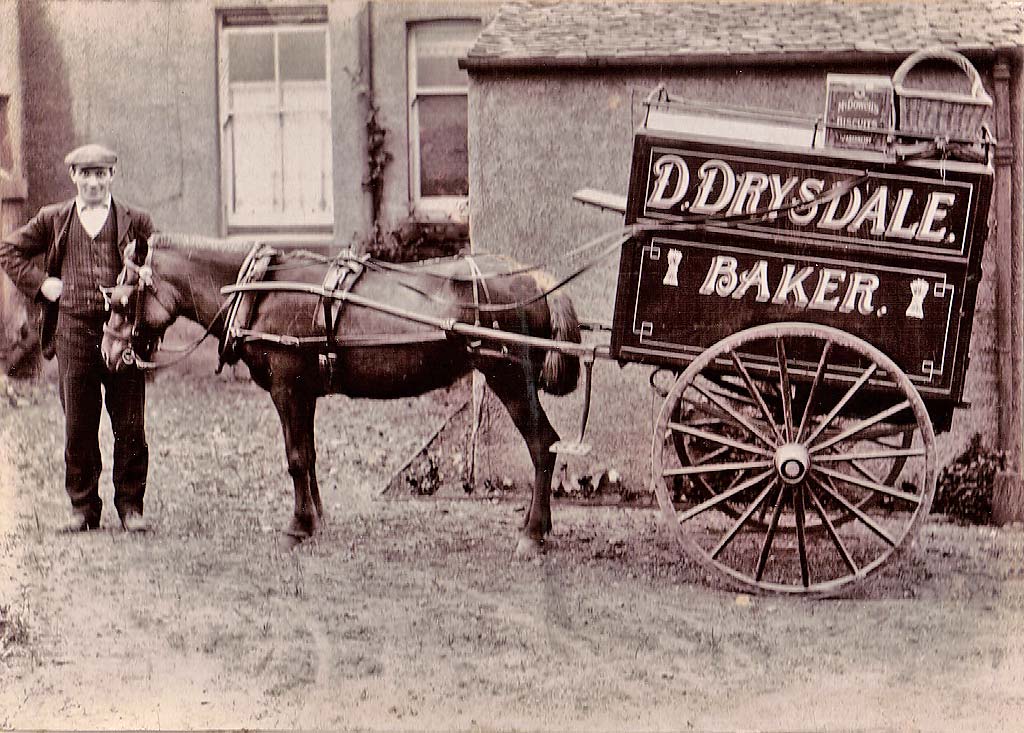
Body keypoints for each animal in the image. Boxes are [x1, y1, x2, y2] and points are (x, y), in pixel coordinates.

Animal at [101, 233, 585, 548]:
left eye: (122, 299)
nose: (107, 352)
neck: (261, 290)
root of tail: (540, 281)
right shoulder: (305, 391)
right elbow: (310, 455)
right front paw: (317, 517)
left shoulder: (286, 387)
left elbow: (295, 458)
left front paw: (298, 526)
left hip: (510, 379)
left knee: (543, 447)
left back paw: (533, 534)